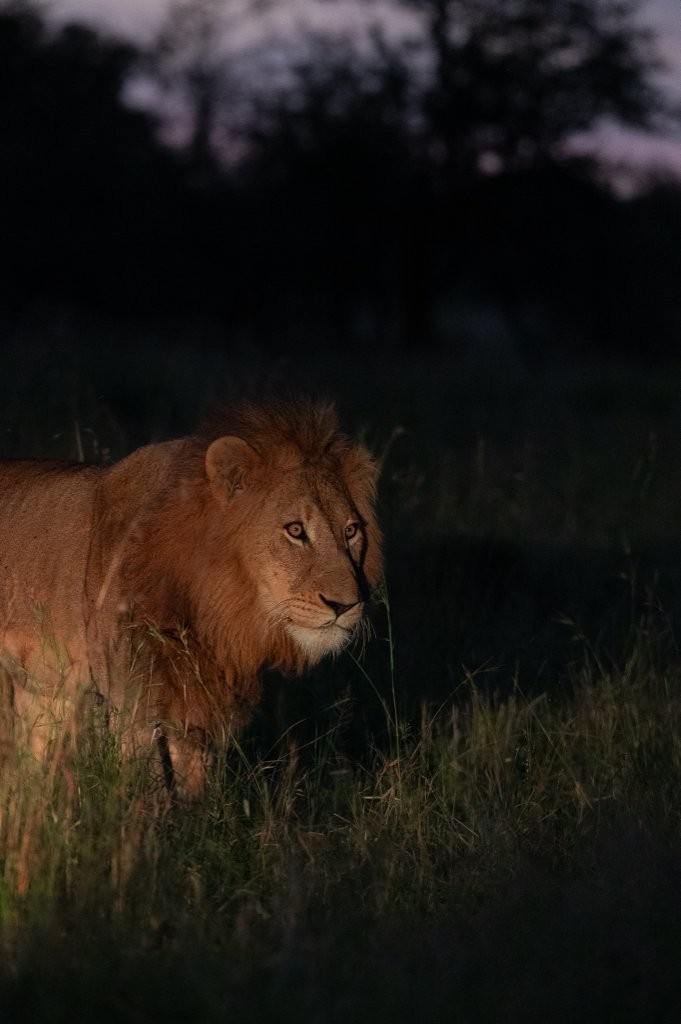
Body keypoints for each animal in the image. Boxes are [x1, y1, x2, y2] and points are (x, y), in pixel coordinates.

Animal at [0, 400, 382, 794]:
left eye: (351, 531)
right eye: (295, 530)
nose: (346, 605)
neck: (213, 608)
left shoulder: (198, 712)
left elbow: (197, 794)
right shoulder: (133, 705)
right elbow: (148, 793)